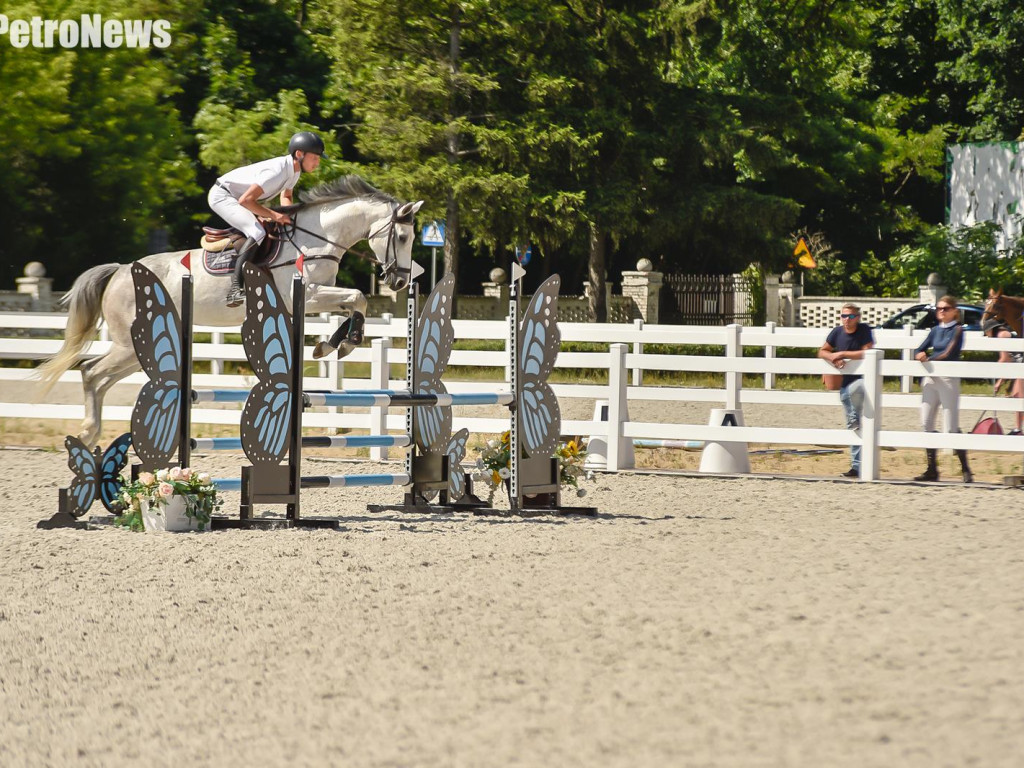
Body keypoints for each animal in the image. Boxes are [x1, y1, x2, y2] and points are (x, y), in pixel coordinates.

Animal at [38, 175, 423, 448]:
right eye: (403, 238)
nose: (400, 281)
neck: (317, 238)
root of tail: (118, 271)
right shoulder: (309, 295)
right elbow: (359, 296)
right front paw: (344, 342)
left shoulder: (320, 297)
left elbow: (353, 303)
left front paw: (331, 344)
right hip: (128, 345)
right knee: (90, 371)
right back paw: (88, 431)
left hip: (137, 350)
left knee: (99, 378)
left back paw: (92, 435)